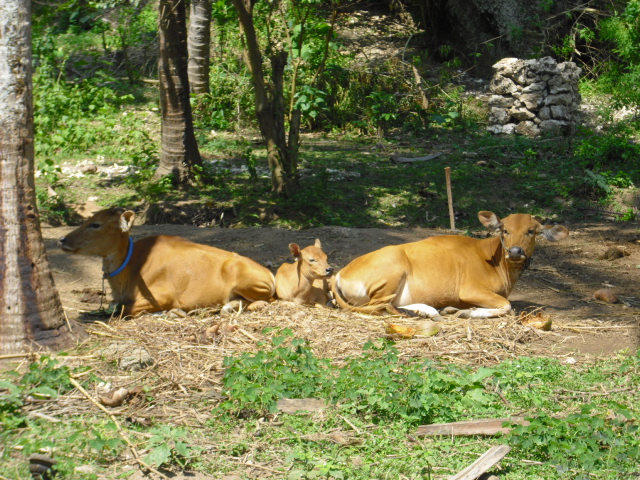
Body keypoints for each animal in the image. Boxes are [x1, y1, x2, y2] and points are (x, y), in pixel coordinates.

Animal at [60, 205, 278, 316]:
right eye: (87, 220)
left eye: (96, 224)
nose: (62, 240)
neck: (130, 268)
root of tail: (270, 274)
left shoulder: (164, 296)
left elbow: (125, 310)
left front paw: (172, 313)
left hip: (250, 284)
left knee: (267, 301)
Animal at [332, 211, 568, 318]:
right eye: (505, 230)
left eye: (531, 231)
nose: (515, 251)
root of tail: (341, 272)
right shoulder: (470, 289)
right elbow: (507, 306)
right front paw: (467, 312)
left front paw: (457, 309)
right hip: (392, 269)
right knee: (380, 306)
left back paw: (431, 310)